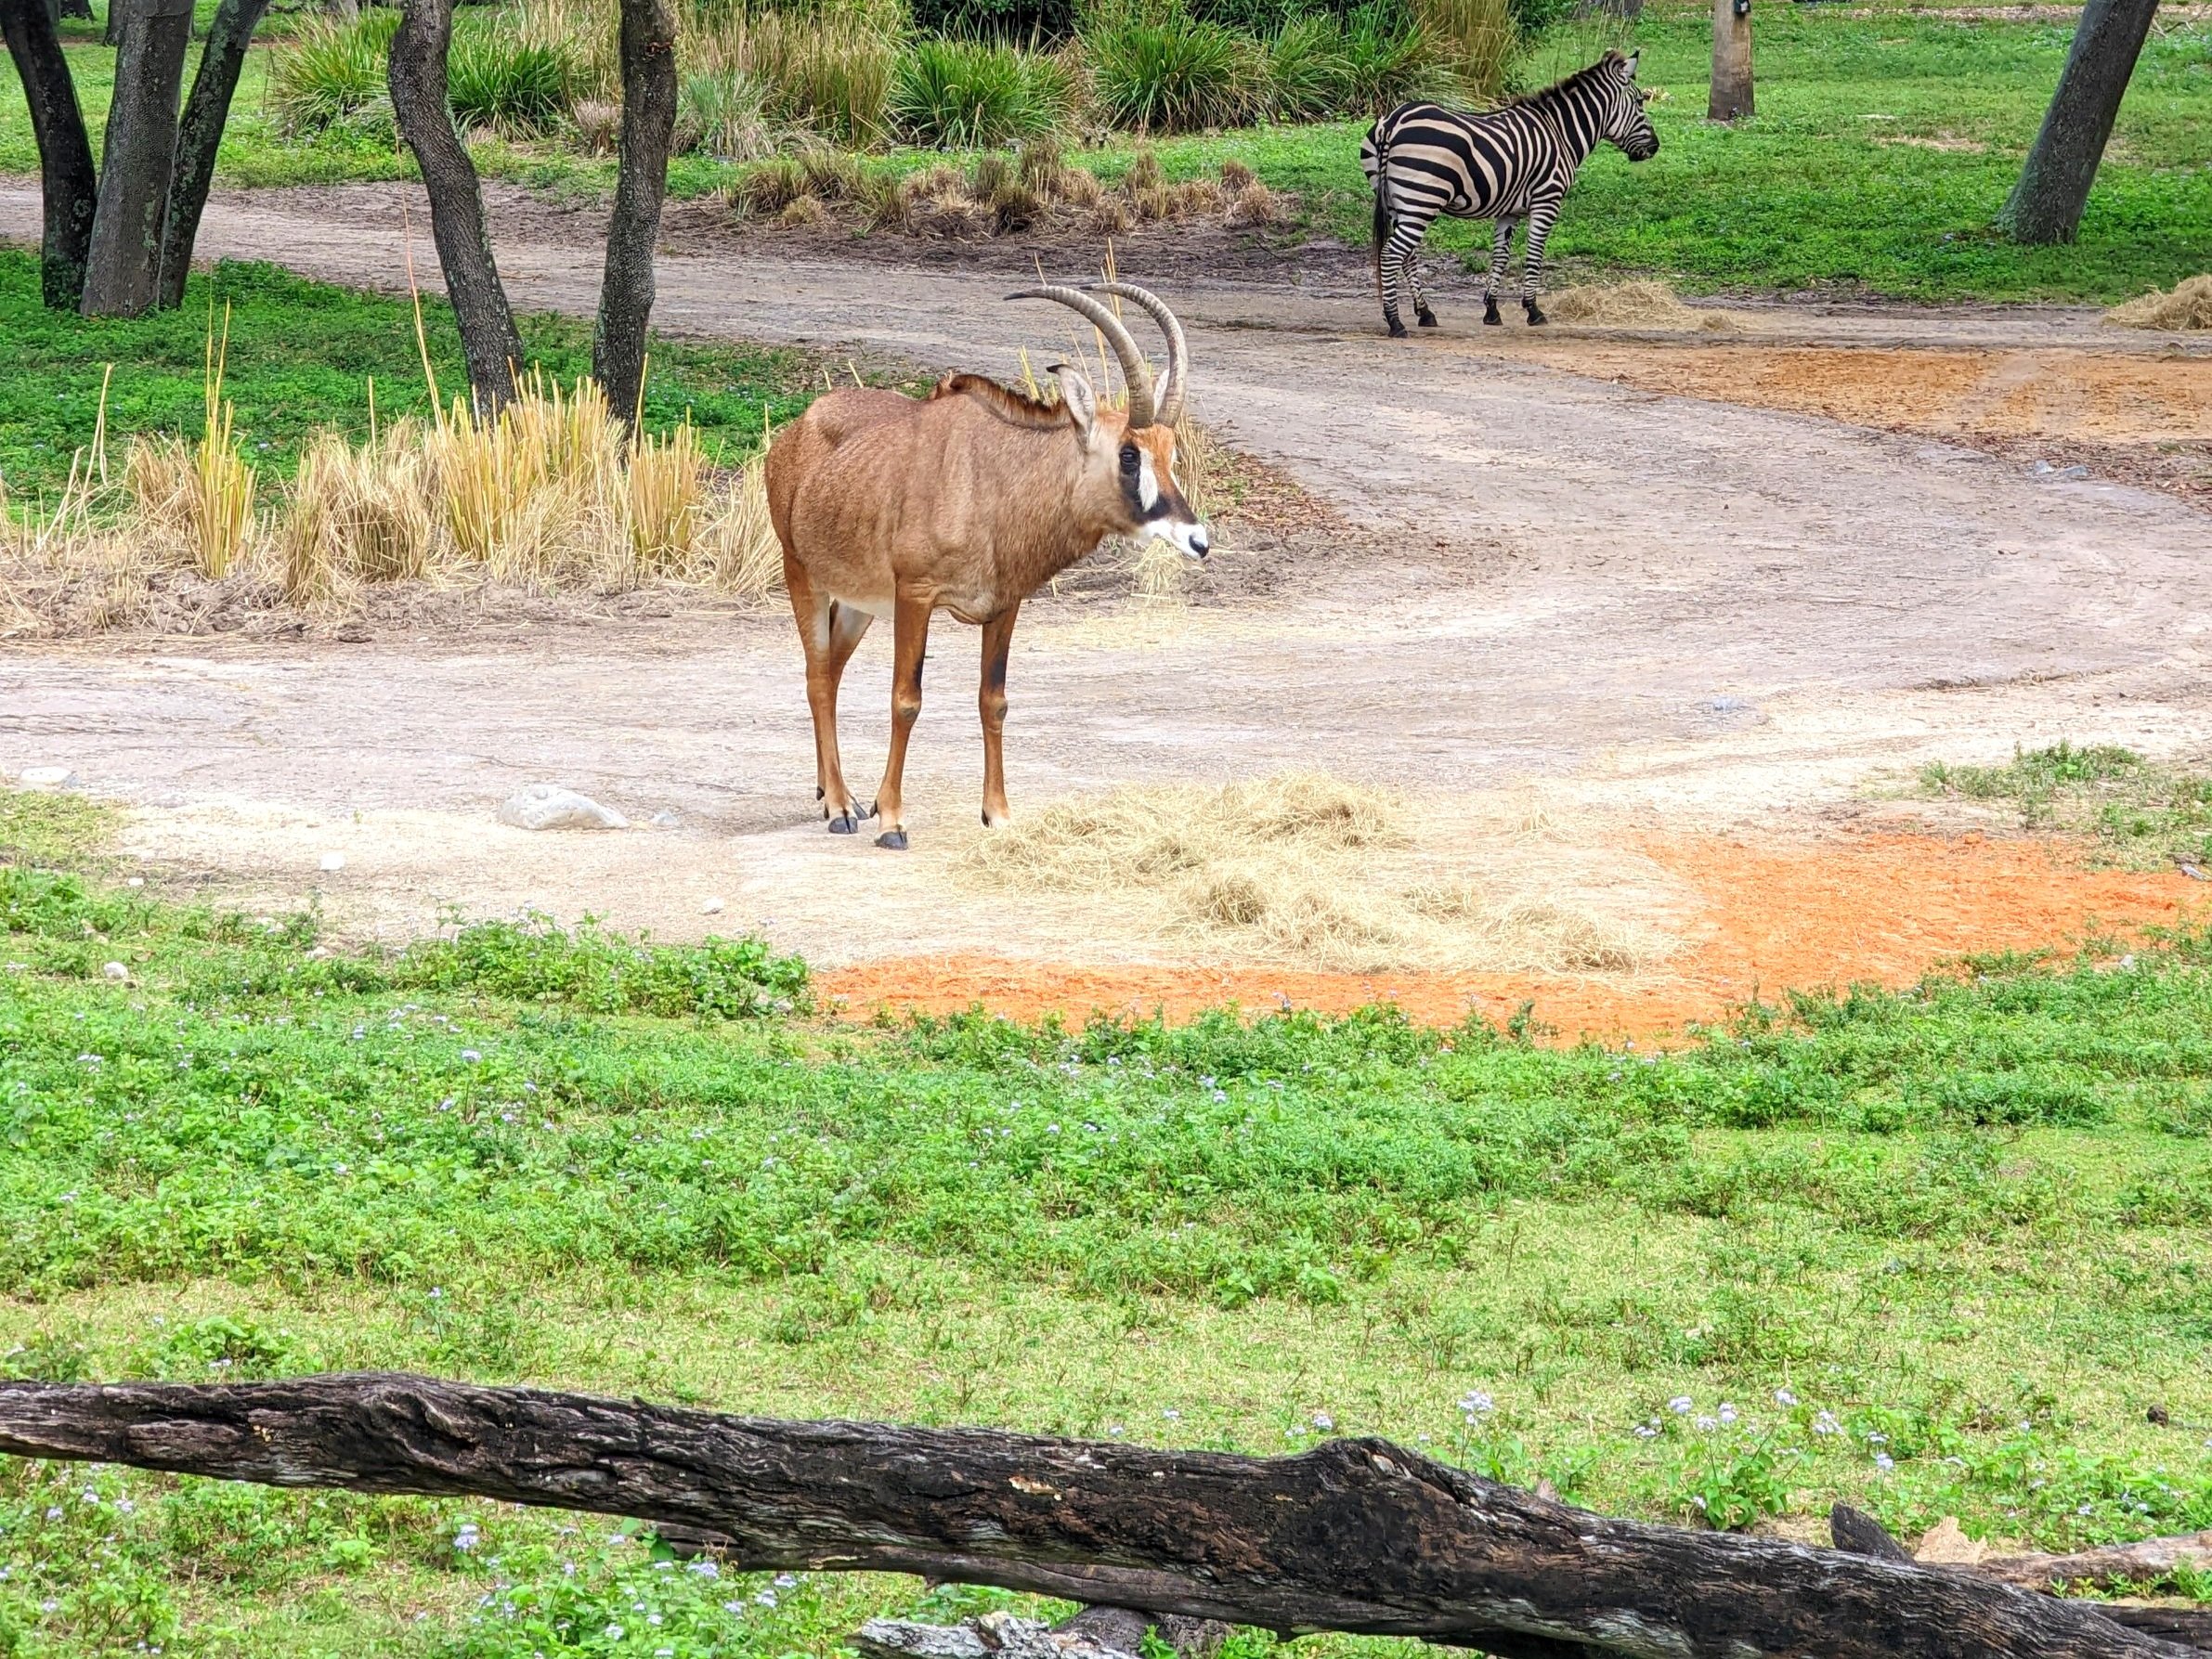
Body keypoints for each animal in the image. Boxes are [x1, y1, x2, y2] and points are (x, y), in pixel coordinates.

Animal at [761, 285, 1212, 849]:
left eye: (1169, 452)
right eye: (1129, 455)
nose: (1198, 541)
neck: (993, 479)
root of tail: (796, 431)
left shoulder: (1005, 604)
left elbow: (993, 701)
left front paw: (997, 813)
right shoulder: (916, 595)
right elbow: (906, 700)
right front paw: (893, 821)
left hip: (857, 602)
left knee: (832, 672)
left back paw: (833, 793)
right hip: (802, 573)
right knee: (818, 676)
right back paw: (842, 806)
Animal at [1353, 51, 1654, 338]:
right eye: (1640, 102)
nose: (1656, 147)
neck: (1560, 133)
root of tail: (1392, 121)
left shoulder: (1509, 211)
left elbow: (1500, 256)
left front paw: (1492, 310)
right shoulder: (1547, 200)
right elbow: (1534, 254)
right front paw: (1533, 310)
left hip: (1397, 203)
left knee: (1408, 256)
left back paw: (1425, 313)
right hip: (1422, 199)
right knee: (1392, 254)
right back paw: (1395, 322)